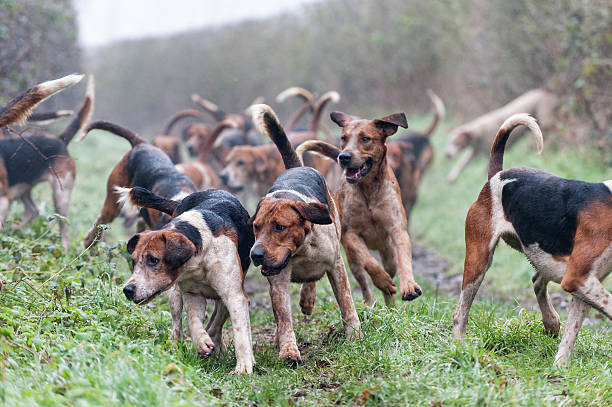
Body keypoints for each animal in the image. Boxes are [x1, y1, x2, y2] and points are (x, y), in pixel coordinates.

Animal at [249, 104, 360, 364]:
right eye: (256, 226)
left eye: (280, 227)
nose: (255, 255)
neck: (301, 249)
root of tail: (296, 167)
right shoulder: (278, 279)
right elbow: (283, 318)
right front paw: (288, 350)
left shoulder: (336, 265)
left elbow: (347, 303)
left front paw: (354, 335)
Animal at [296, 110, 420, 304]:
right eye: (343, 138)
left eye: (365, 138)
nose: (344, 157)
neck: (369, 190)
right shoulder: (351, 235)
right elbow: (369, 261)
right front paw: (382, 280)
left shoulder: (397, 229)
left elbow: (404, 259)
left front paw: (409, 286)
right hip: (352, 260)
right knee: (364, 283)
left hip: (388, 254)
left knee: (391, 273)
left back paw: (390, 304)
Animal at [452, 114, 612, 366]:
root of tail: (496, 176)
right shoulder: (578, 278)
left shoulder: (584, 283)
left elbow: (571, 334)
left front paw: (560, 368)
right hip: (478, 262)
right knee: (460, 312)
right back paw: (458, 348)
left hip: (544, 256)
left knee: (537, 281)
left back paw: (551, 322)